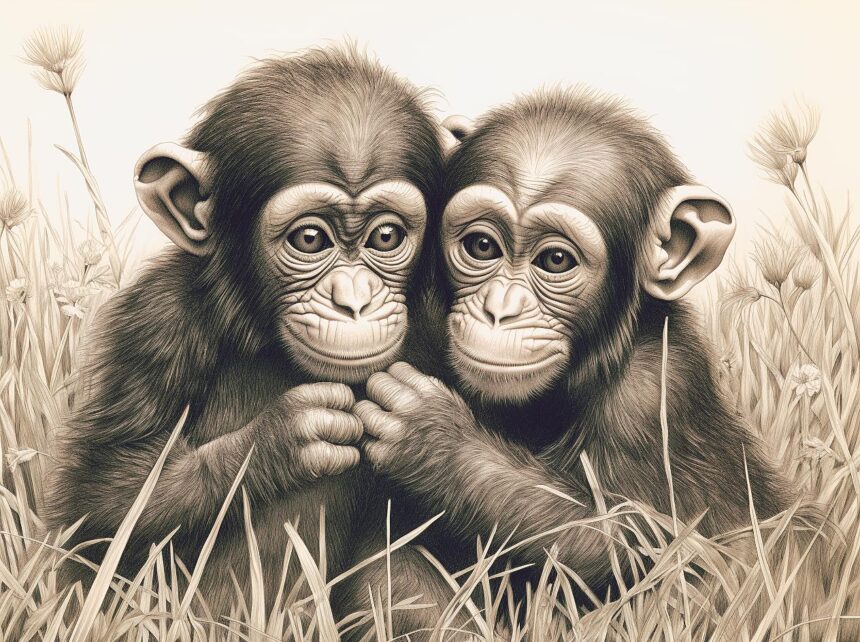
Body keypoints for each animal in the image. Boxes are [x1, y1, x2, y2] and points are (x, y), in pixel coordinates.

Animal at [44, 45, 447, 622]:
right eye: (310, 238)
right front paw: (281, 440)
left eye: (387, 236)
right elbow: (92, 508)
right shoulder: (153, 322)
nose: (354, 300)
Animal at [347, 89, 825, 638]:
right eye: (481, 246)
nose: (499, 310)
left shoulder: (655, 390)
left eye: (556, 261)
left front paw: (434, 441)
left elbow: (631, 541)